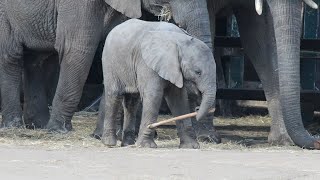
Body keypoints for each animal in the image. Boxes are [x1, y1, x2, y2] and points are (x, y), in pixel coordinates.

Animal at [0, 0, 215, 134]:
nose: (209, 138)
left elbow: (111, 51)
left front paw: (100, 135)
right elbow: (77, 49)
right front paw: (59, 131)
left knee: (37, 60)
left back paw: (38, 125)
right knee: (11, 56)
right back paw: (15, 126)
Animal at [102, 19, 218, 148]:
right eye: (198, 72)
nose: (197, 109)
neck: (179, 40)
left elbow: (179, 98)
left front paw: (191, 147)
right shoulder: (147, 63)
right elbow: (154, 95)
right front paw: (147, 146)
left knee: (131, 101)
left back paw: (128, 144)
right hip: (110, 61)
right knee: (114, 95)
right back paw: (109, 143)